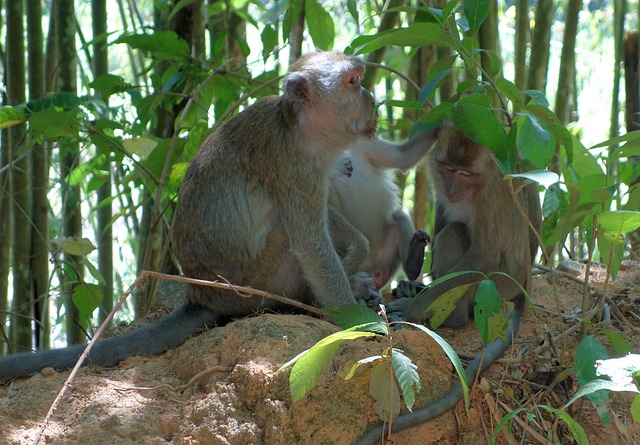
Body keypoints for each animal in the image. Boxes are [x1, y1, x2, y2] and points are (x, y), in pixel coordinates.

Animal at [0, 51, 383, 383]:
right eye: (353, 81)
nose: (372, 98)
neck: (299, 127)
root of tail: (201, 297)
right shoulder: (294, 166)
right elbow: (309, 242)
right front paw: (358, 322)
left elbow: (324, 219)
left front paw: (358, 255)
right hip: (256, 284)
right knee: (285, 238)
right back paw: (310, 303)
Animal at [358, 121, 541, 443]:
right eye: (448, 169)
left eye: (466, 174)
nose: (452, 189)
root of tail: (521, 287)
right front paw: (414, 286)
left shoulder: (492, 194)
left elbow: (484, 256)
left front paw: (412, 307)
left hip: (494, 288)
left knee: (455, 234)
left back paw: (451, 318)